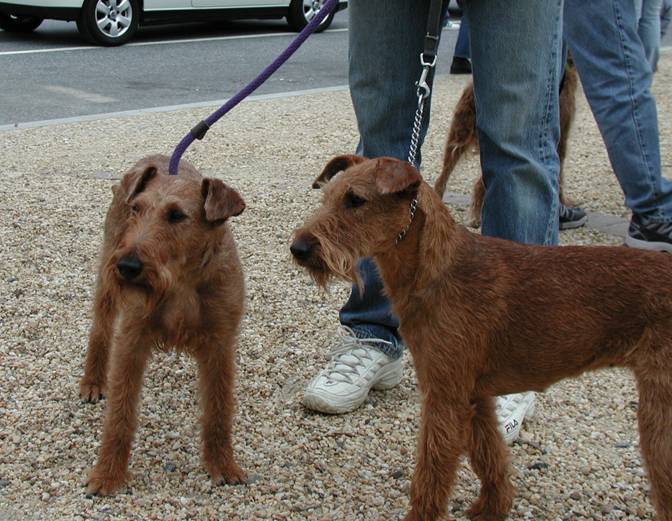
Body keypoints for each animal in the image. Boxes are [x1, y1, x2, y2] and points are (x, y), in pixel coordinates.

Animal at [292, 155, 672, 520]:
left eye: (356, 200)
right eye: (327, 198)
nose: (299, 248)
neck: (437, 271)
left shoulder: (445, 396)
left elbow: (431, 472)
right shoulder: (475, 396)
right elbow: (489, 457)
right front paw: (493, 507)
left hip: (658, 417)